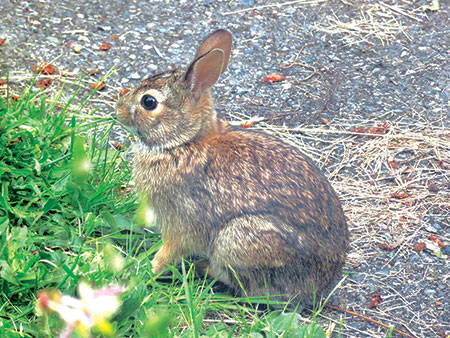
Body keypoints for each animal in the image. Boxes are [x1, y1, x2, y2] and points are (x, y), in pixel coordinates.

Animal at [116, 28, 348, 304]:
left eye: (148, 102)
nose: (118, 109)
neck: (184, 142)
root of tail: (321, 283)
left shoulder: (180, 224)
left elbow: (168, 253)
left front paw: (143, 272)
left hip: (240, 240)